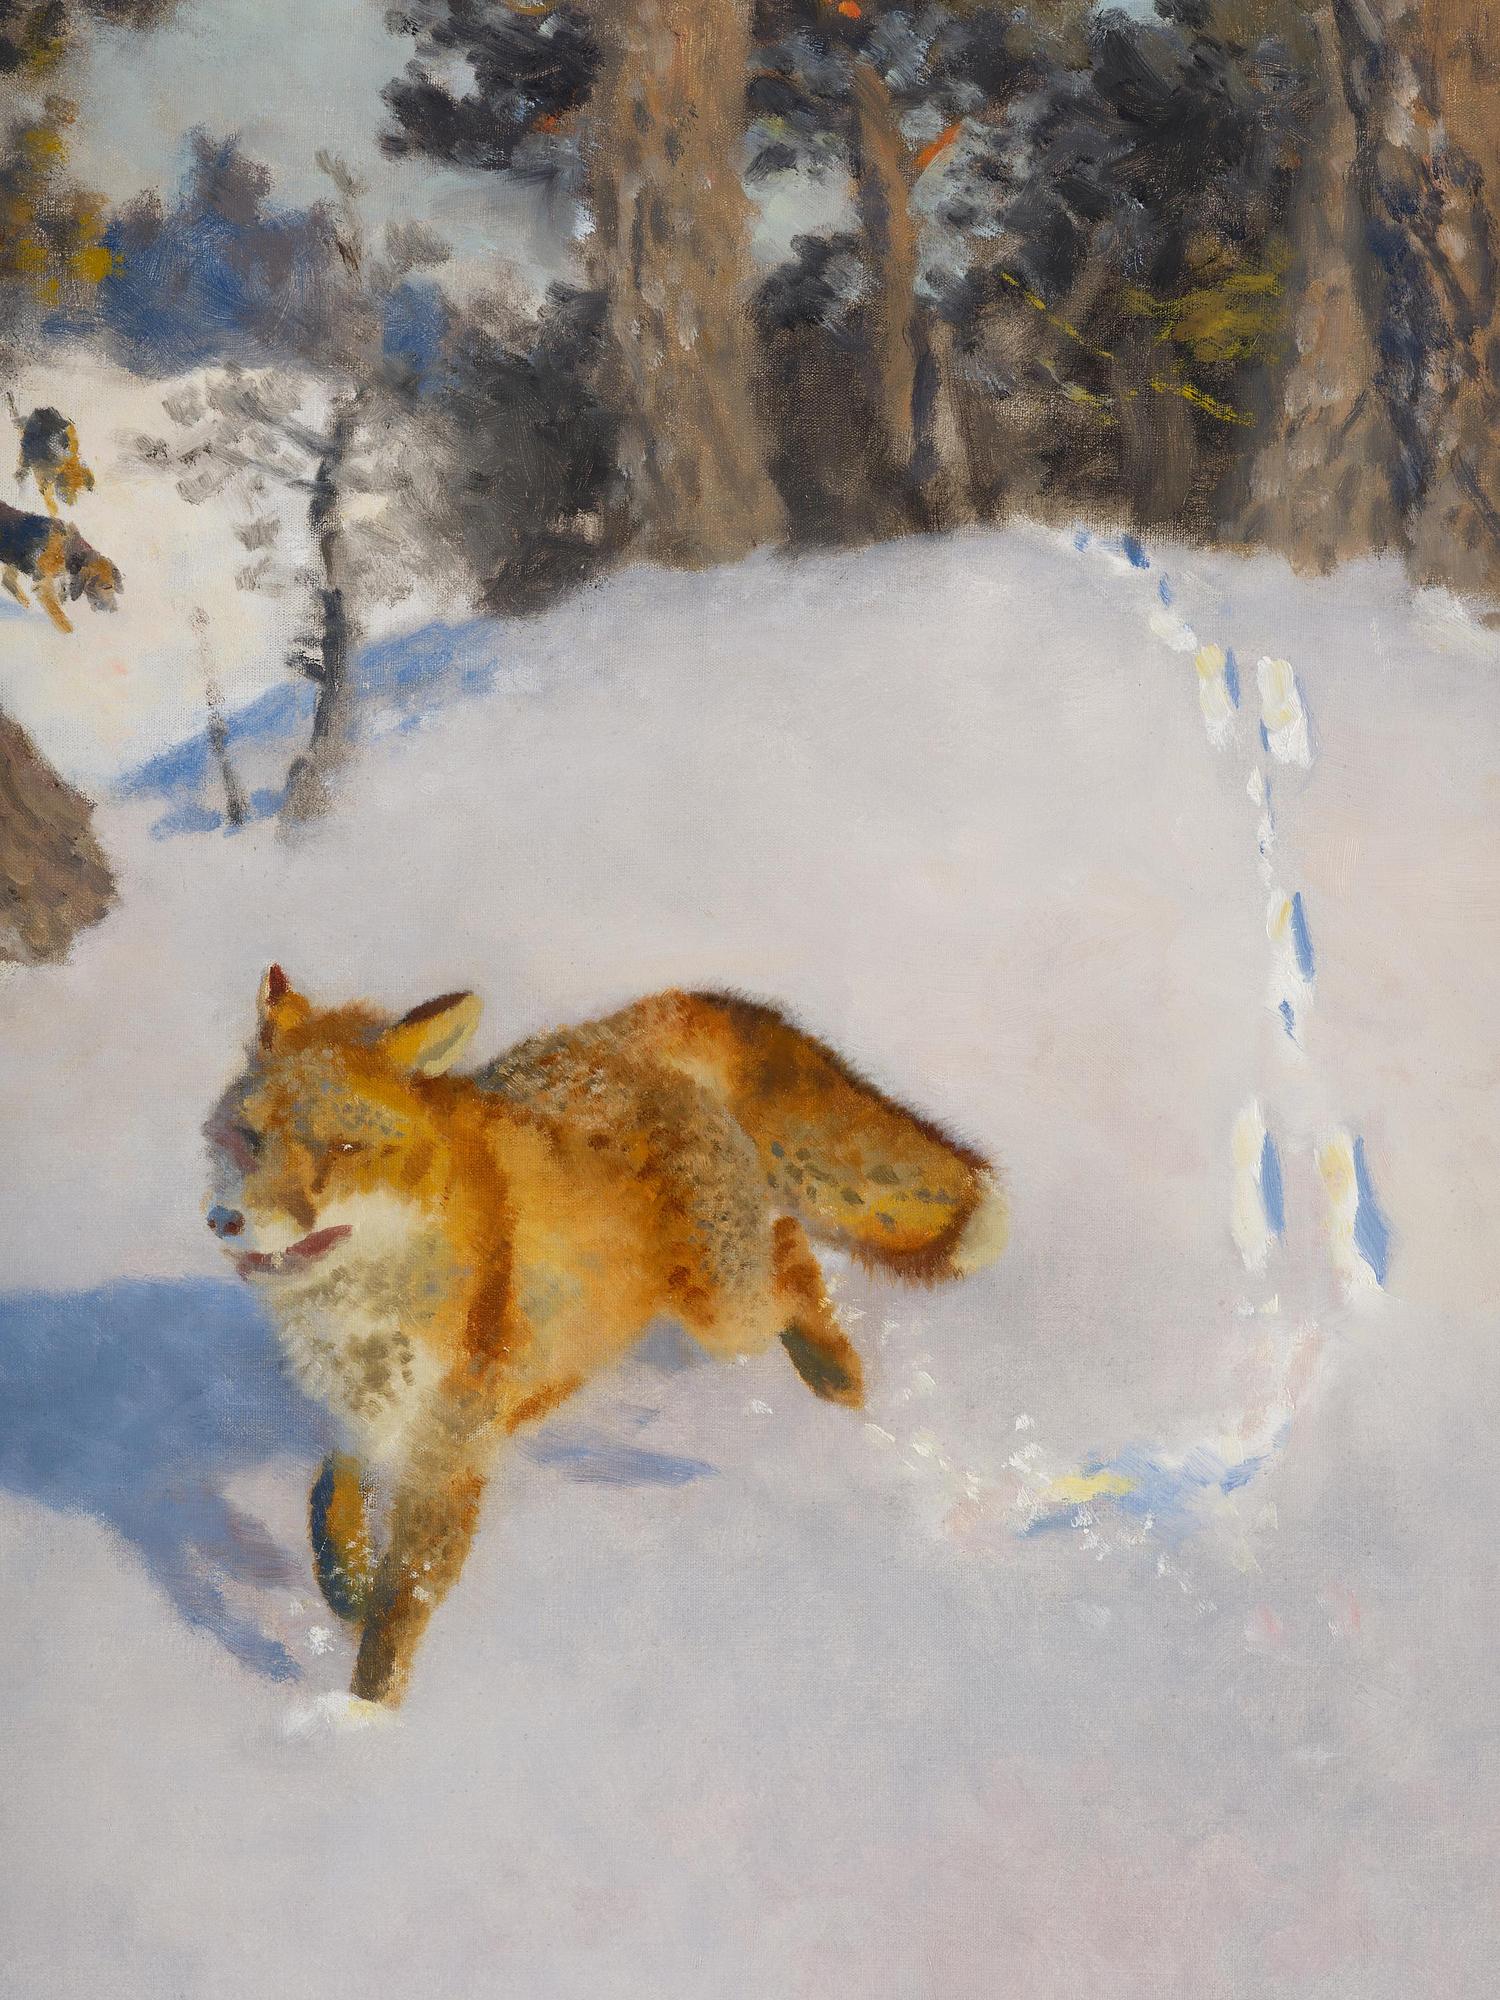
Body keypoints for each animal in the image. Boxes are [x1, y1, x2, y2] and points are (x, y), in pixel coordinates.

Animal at [204, 971, 1008, 1709]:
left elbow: (399, 1612)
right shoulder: (367, 1423)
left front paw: (364, 1726)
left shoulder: (447, 1455)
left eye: (341, 1147)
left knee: (791, 1252)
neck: (361, 1316)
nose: (225, 1220)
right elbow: (328, 1506)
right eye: (249, 1139)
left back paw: (836, 1373)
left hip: (725, 1313)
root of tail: (613, 1037)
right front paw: (345, 1589)